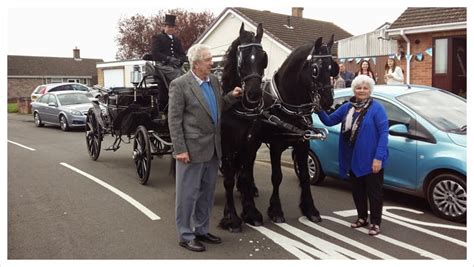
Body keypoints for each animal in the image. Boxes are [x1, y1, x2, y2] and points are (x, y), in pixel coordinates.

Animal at [221, 36, 336, 232]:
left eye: (332, 68)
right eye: (315, 69)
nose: (328, 101)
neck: (286, 103)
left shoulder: (302, 142)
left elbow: (305, 176)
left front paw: (310, 209)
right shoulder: (276, 145)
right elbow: (277, 177)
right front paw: (275, 211)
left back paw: (249, 189)